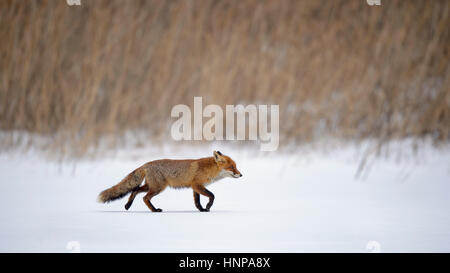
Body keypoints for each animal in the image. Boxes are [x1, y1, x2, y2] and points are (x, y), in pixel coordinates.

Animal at [96, 151, 241, 210]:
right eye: (232, 167)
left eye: (236, 166)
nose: (241, 175)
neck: (209, 169)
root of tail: (146, 164)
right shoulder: (197, 185)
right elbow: (212, 195)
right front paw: (208, 206)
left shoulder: (195, 187)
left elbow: (197, 202)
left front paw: (202, 210)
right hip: (158, 188)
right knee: (144, 198)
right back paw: (155, 210)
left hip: (151, 186)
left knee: (135, 190)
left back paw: (128, 205)